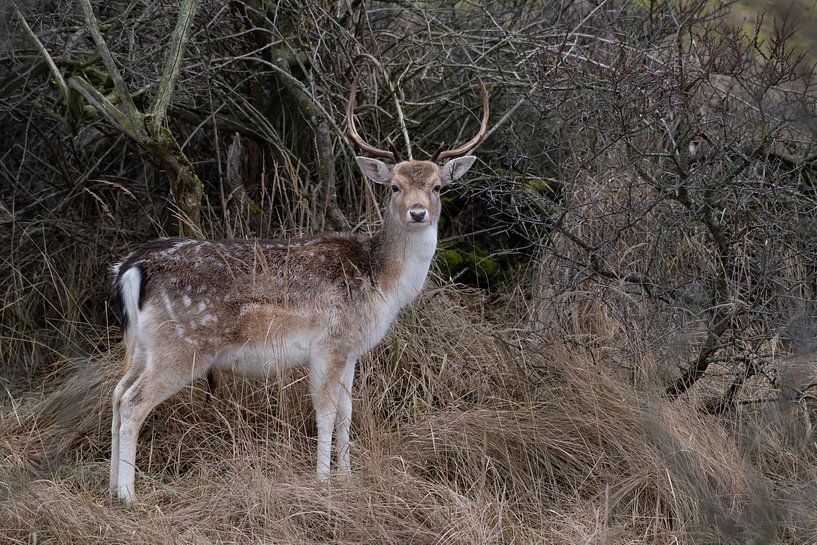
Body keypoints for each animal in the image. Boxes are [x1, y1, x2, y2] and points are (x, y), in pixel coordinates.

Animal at [111, 78, 488, 504]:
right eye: (394, 186)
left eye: (438, 186)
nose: (418, 212)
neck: (382, 286)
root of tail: (133, 267)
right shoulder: (329, 343)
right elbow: (325, 412)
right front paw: (323, 481)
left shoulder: (350, 350)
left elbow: (347, 412)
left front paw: (348, 477)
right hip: (183, 346)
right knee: (134, 401)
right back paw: (128, 495)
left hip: (142, 344)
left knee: (117, 393)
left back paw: (109, 486)